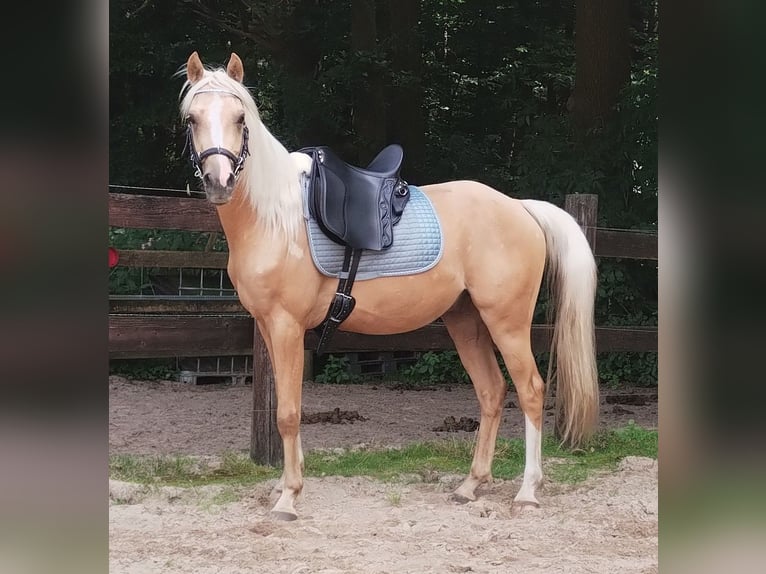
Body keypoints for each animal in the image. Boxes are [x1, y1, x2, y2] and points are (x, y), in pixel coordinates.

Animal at [178, 53, 600, 520]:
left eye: (240, 118)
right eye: (192, 118)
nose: (219, 182)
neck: (276, 217)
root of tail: (520, 207)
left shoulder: (287, 327)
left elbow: (288, 412)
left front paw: (288, 497)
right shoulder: (270, 329)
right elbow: (286, 409)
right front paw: (286, 484)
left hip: (506, 323)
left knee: (530, 391)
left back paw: (527, 489)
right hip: (466, 321)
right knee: (492, 391)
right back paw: (470, 484)